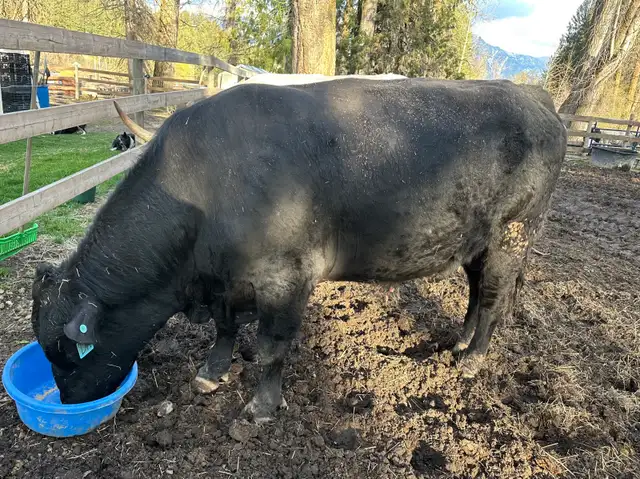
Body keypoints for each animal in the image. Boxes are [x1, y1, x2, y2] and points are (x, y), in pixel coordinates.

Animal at [31, 77, 567, 423]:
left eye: (69, 353)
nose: (68, 400)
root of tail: (532, 96)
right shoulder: (225, 282)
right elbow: (225, 329)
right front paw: (211, 374)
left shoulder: (285, 278)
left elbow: (271, 348)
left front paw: (261, 407)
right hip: (477, 240)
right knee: (478, 290)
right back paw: (459, 342)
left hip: (514, 233)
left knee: (495, 298)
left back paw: (472, 359)